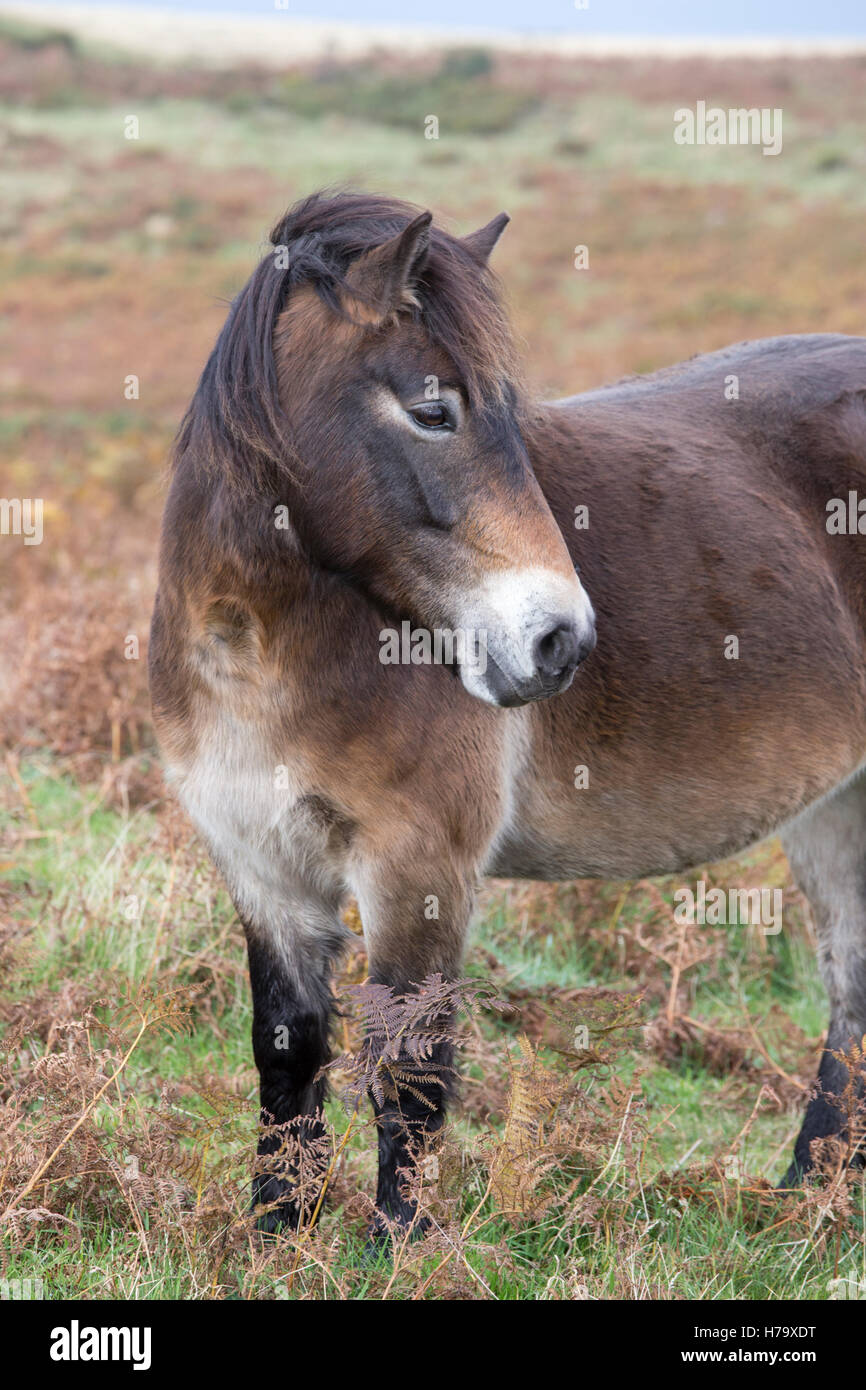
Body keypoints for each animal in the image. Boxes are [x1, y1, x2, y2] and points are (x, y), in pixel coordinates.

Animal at [149, 189, 866, 1234]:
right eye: (433, 410)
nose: (562, 640)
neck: (264, 651)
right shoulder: (262, 868)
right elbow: (288, 1053)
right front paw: (274, 1234)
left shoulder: (417, 868)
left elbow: (408, 1071)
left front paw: (398, 1247)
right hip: (833, 809)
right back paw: (807, 1206)